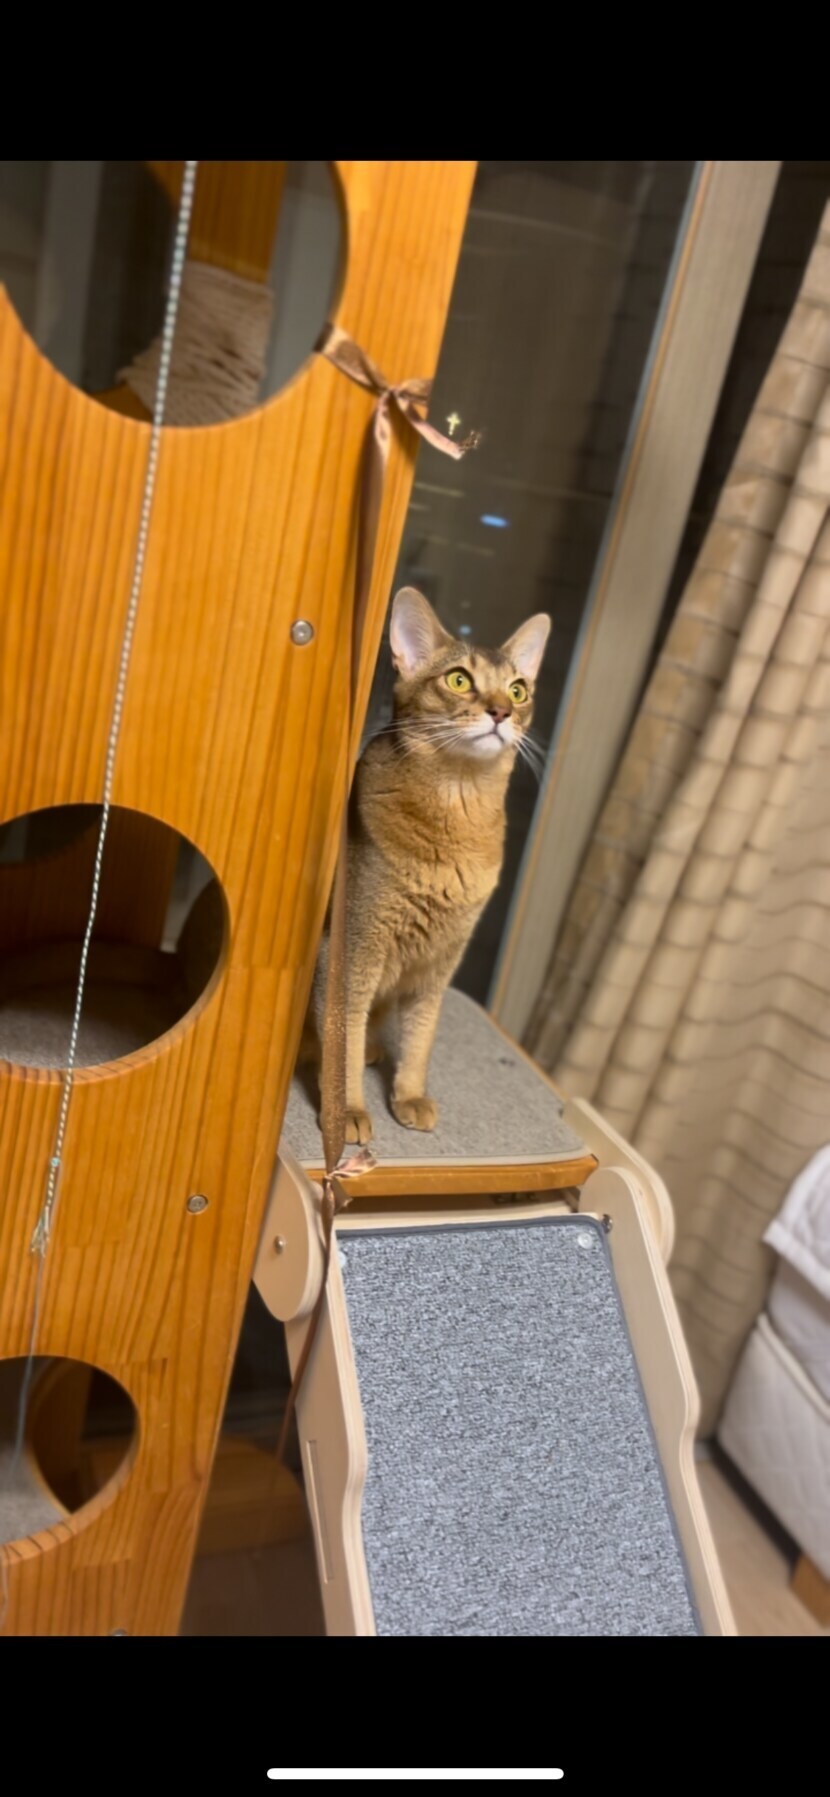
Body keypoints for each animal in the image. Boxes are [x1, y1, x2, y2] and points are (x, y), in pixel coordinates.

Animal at [310, 586, 550, 1145]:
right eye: (458, 679)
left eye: (519, 690)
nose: (501, 711)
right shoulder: (351, 949)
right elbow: (343, 1033)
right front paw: (348, 1110)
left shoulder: (441, 960)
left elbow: (421, 1035)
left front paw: (410, 1095)